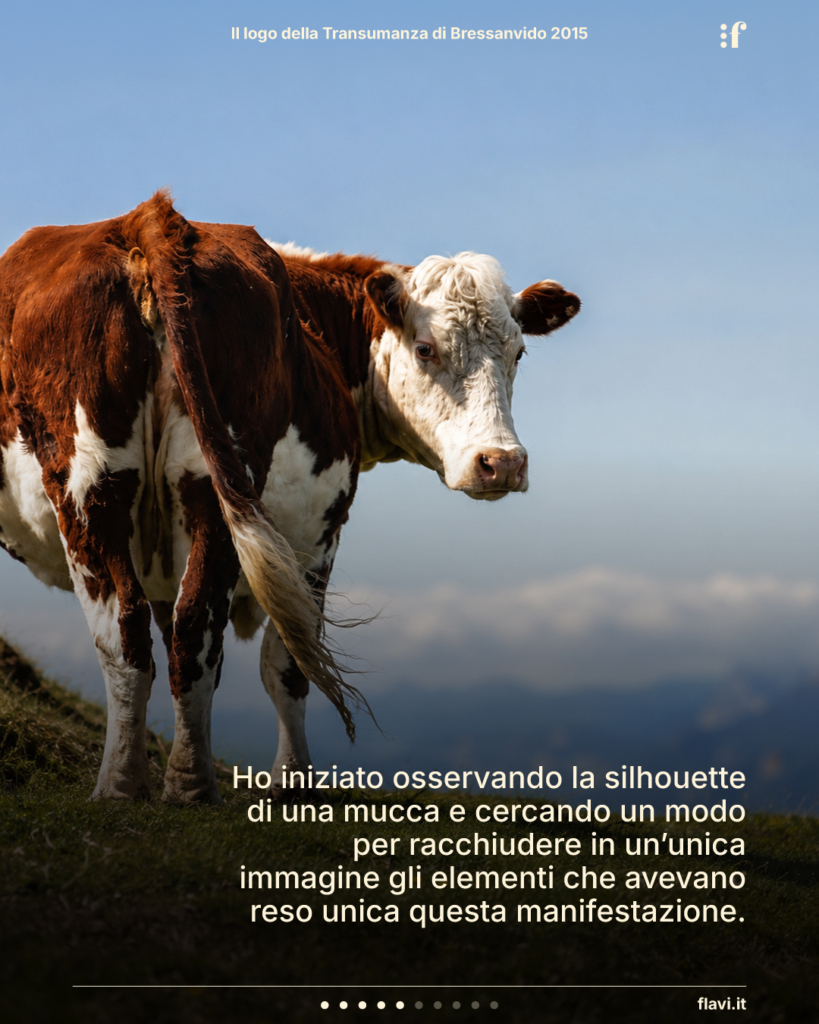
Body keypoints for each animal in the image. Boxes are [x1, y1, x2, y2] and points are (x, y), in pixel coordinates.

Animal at [0, 192, 580, 803]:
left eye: (519, 354)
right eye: (425, 349)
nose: (502, 462)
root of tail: (152, 217)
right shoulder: (319, 534)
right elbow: (289, 662)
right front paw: (294, 781)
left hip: (105, 488)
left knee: (139, 634)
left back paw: (131, 784)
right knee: (186, 631)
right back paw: (182, 785)